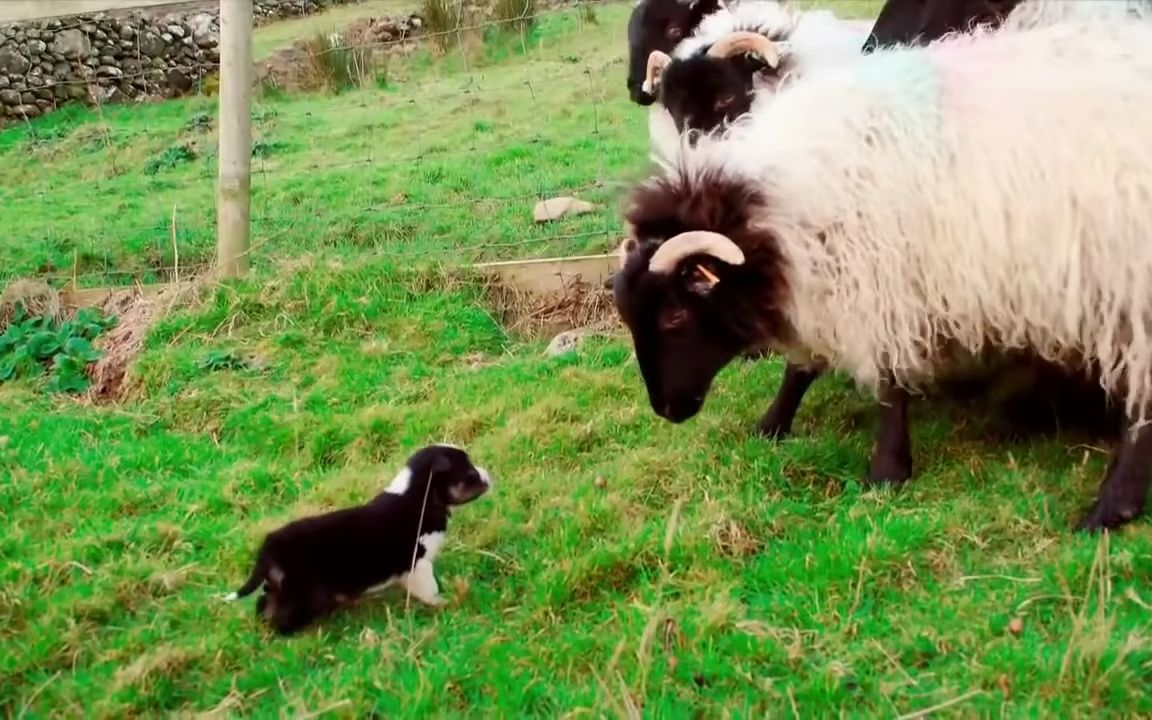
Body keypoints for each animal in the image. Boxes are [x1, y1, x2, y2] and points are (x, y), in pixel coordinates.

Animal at [220, 444, 490, 635]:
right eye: (470, 473)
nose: (489, 475)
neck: (418, 494)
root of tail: (269, 545)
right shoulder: (418, 564)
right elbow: (429, 589)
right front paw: (444, 603)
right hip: (302, 590)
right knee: (281, 612)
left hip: (282, 585)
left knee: (264, 603)